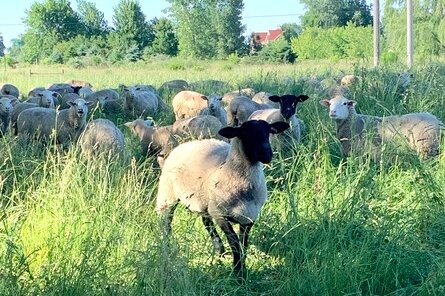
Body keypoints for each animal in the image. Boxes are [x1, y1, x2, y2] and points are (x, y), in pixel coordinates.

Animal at [155, 119, 288, 278]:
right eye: (245, 134)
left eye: (268, 132)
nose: (267, 155)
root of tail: (186, 144)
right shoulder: (220, 214)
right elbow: (235, 243)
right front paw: (238, 272)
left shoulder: (249, 217)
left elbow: (243, 245)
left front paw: (242, 269)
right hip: (167, 196)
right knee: (166, 224)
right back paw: (167, 248)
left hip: (203, 200)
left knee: (206, 222)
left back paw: (220, 250)